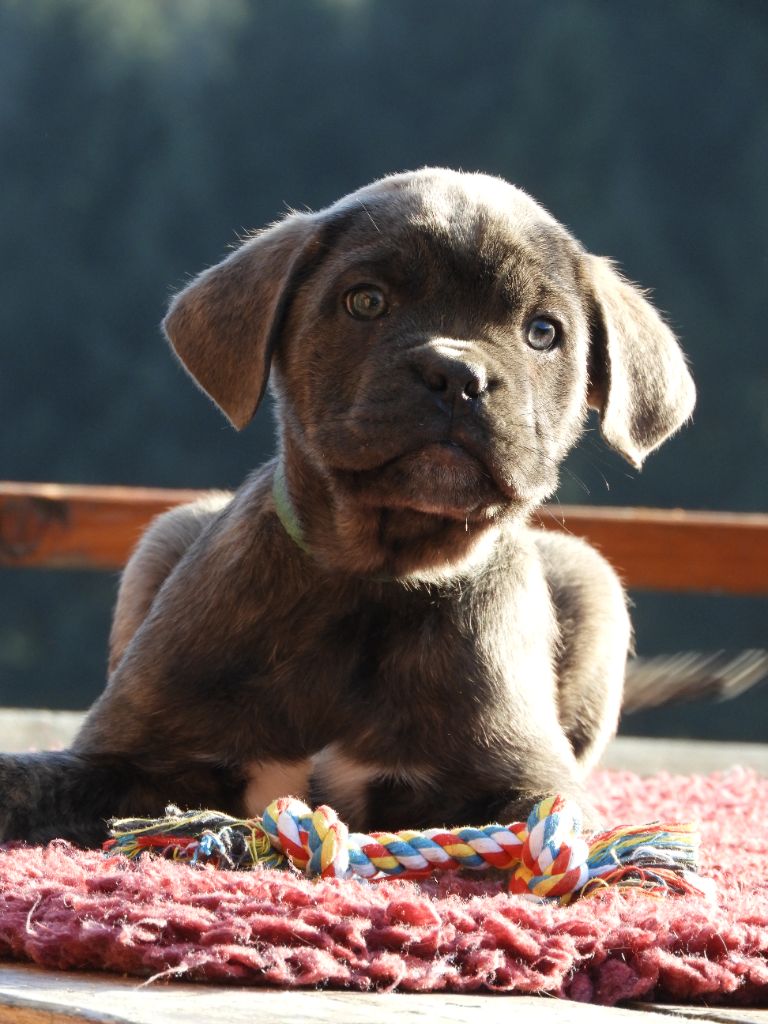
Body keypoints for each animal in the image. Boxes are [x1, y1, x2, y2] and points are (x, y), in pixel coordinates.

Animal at [0, 167, 696, 843]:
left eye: (544, 332)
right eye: (366, 301)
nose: (457, 376)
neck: (374, 578)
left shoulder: (528, 779)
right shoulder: (126, 755)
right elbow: (28, 781)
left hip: (591, 578)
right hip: (164, 534)